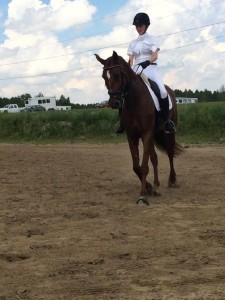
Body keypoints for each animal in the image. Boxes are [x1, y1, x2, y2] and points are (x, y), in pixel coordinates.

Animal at [94, 51, 183, 206]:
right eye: (104, 77)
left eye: (117, 74)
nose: (114, 103)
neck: (135, 99)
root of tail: (169, 90)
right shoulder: (132, 135)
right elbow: (137, 166)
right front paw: (148, 187)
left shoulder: (146, 133)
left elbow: (144, 166)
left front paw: (142, 196)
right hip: (153, 134)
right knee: (154, 158)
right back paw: (156, 187)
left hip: (168, 132)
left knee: (170, 153)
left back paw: (172, 180)